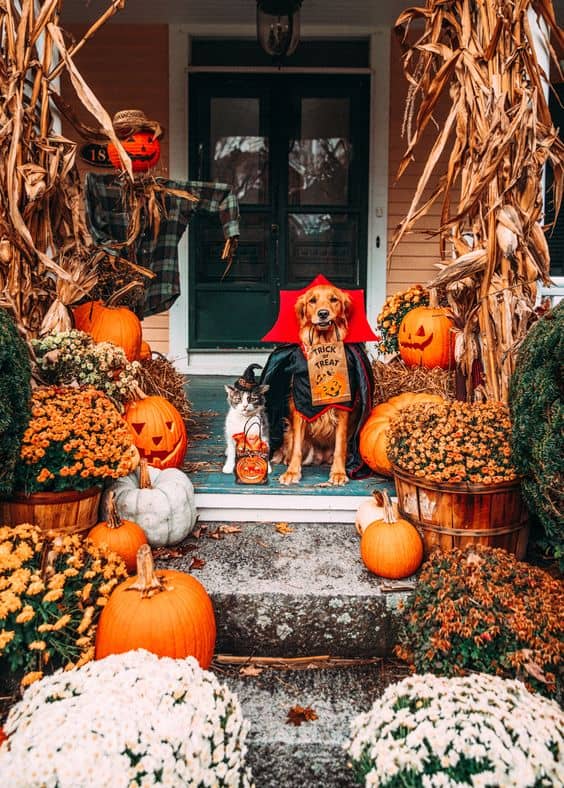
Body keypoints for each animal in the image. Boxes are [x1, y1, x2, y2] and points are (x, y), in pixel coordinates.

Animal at [276, 280, 354, 484]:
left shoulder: (343, 408)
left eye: (334, 299)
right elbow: (296, 447)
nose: (323, 313)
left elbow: (340, 446)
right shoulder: (300, 407)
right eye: (312, 301)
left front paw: (338, 473)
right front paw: (292, 472)